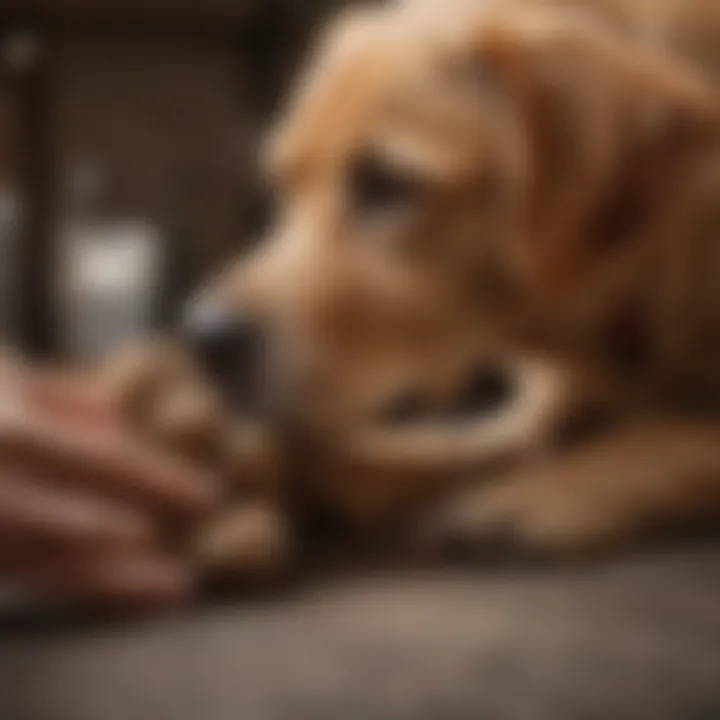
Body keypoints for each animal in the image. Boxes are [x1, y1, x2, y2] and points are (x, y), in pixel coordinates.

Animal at [102, 0, 720, 580]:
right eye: (283, 183)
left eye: (386, 184)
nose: (203, 336)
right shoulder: (526, 422)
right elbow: (402, 456)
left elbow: (675, 431)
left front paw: (538, 494)